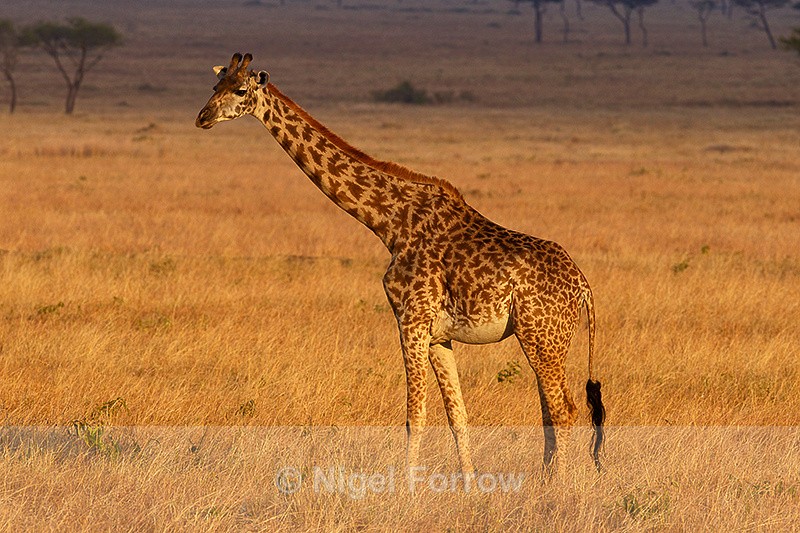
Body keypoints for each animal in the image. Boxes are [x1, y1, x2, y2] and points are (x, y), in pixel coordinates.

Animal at [196, 53, 605, 475]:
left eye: (240, 91)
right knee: (550, 411)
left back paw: (552, 487)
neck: (390, 223)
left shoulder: (410, 319)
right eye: (214, 87)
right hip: (546, 340)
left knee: (563, 410)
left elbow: (415, 416)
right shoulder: (438, 334)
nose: (202, 117)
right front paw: (470, 486)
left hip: (541, 336)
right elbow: (458, 416)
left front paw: (406, 488)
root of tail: (584, 287)